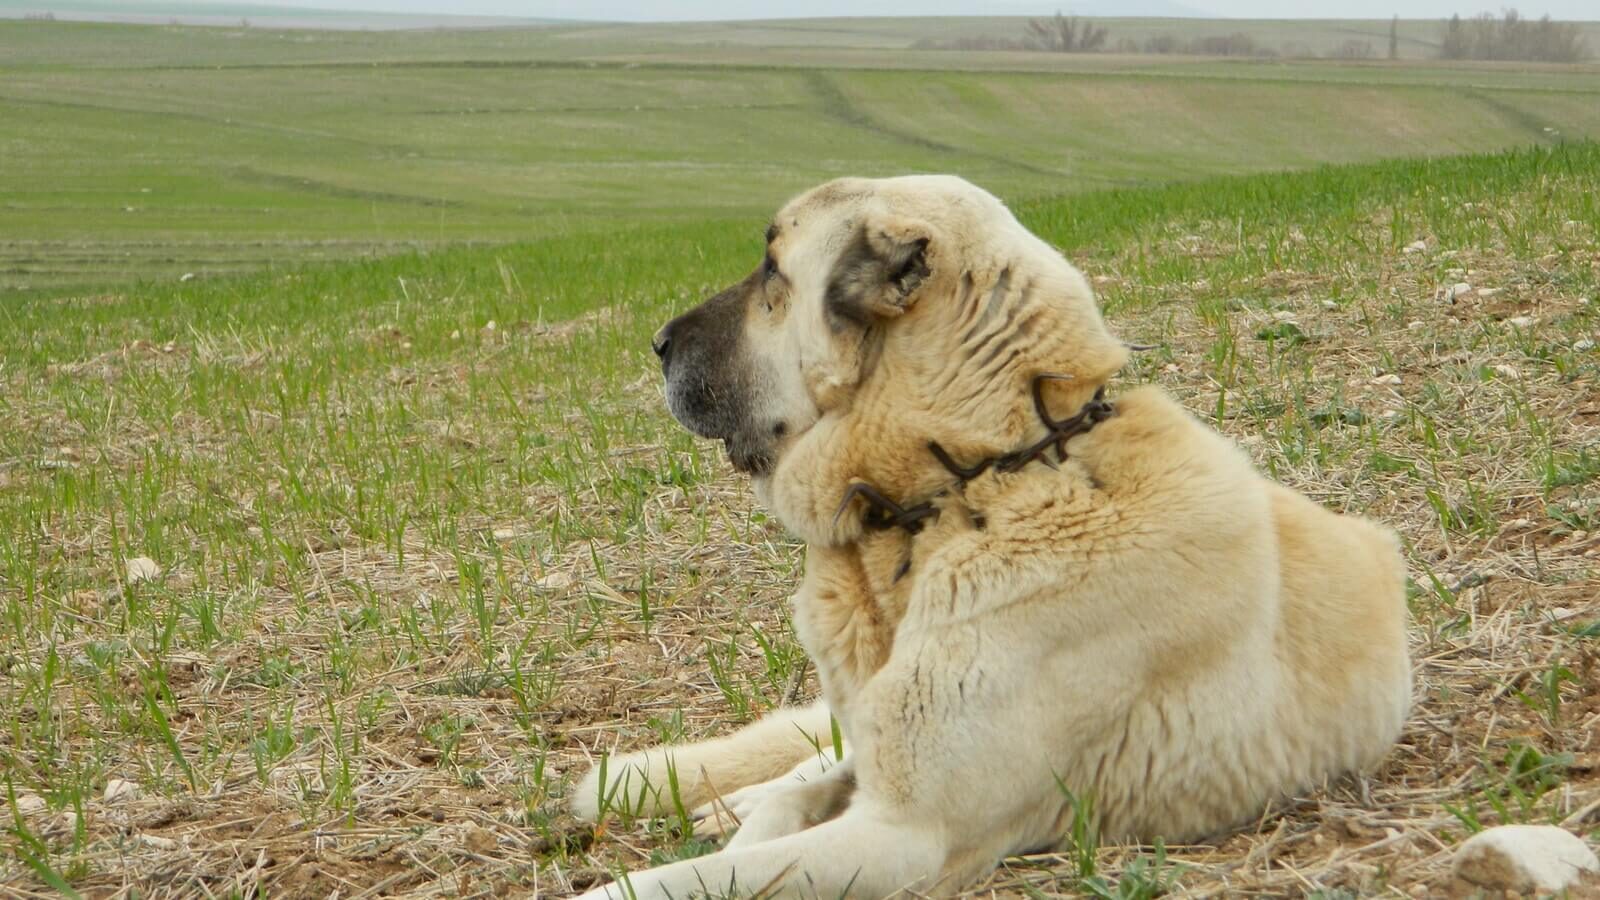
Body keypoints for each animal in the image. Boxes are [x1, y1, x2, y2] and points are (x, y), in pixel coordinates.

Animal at [566, 176, 1414, 896]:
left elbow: (671, 882)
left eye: (774, 269)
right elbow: (768, 820)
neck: (980, 479)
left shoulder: (904, 830)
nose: (657, 343)